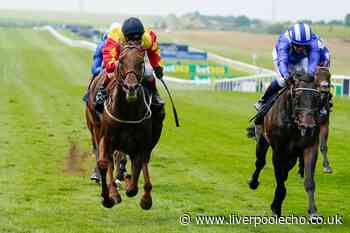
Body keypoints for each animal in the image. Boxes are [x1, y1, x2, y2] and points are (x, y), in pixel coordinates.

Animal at [86, 41, 165, 208]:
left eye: (141, 62)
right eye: (121, 61)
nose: (131, 87)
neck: (127, 113)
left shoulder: (141, 144)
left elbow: (136, 177)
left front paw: (143, 197)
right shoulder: (106, 138)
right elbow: (104, 163)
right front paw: (109, 196)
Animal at [247, 72, 322, 218]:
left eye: (317, 97)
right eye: (297, 96)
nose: (308, 126)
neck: (294, 123)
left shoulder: (310, 147)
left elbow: (309, 181)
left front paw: (313, 212)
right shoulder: (279, 150)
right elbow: (280, 177)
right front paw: (276, 207)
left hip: (292, 155)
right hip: (262, 139)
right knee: (260, 162)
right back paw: (253, 182)